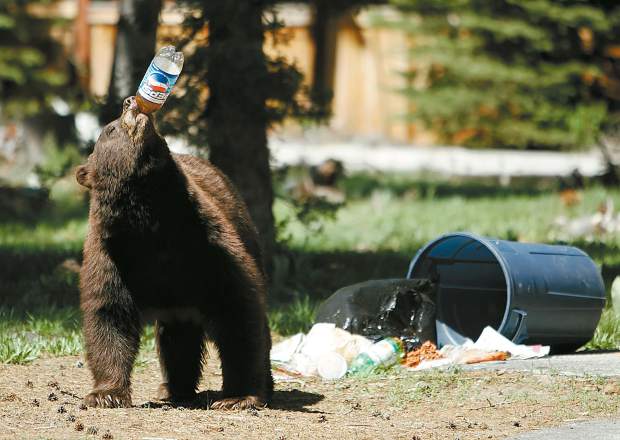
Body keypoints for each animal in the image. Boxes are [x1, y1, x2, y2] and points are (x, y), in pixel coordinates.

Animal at [75, 95, 274, 410]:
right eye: (110, 129)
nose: (129, 101)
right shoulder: (111, 255)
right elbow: (108, 314)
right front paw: (105, 394)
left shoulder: (208, 246)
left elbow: (238, 312)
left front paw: (238, 397)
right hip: (177, 304)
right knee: (176, 338)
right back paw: (172, 389)